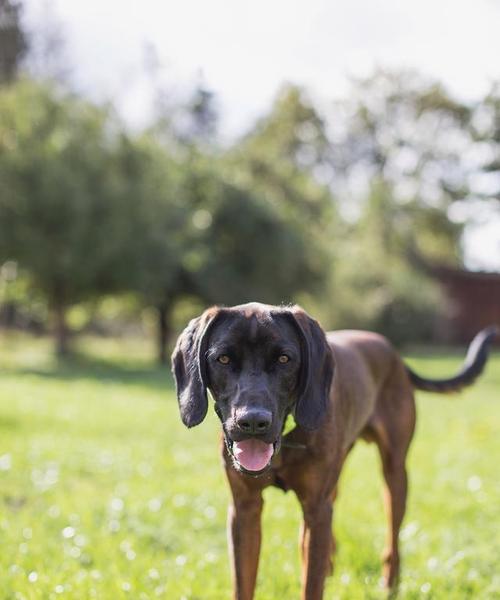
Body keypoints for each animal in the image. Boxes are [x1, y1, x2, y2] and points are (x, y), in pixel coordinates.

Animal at [171, 304, 496, 600]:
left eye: (284, 359)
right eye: (223, 358)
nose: (252, 421)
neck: (286, 439)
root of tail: (394, 355)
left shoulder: (316, 507)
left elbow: (312, 585)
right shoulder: (244, 509)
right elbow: (244, 583)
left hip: (394, 473)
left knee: (392, 536)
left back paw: (389, 585)